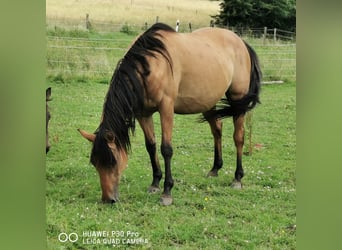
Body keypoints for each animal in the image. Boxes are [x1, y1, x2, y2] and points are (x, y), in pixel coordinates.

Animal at [78, 23, 262, 205]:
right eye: (94, 162)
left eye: (113, 161)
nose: (108, 199)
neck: (150, 64)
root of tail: (241, 42)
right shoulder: (143, 113)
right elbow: (151, 146)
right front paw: (155, 183)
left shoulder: (166, 108)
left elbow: (166, 149)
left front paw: (167, 192)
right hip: (208, 101)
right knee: (217, 130)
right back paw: (215, 169)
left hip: (238, 100)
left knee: (239, 137)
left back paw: (237, 178)